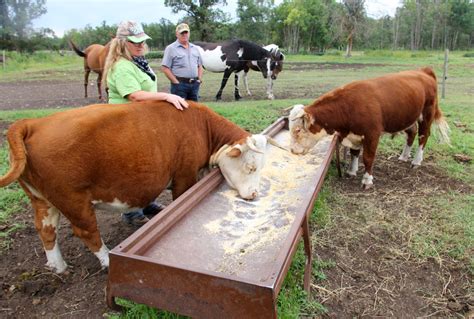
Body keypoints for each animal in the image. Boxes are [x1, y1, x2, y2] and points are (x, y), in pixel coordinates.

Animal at [0, 101, 274, 274]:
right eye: (251, 166)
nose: (253, 194)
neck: (201, 126)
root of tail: (33, 123)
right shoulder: (184, 176)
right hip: (72, 199)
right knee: (86, 231)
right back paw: (106, 260)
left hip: (42, 200)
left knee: (46, 230)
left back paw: (58, 267)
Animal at [286, 67, 450, 188]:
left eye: (298, 130)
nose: (292, 150)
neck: (349, 106)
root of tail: (423, 70)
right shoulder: (354, 134)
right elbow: (354, 153)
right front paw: (351, 171)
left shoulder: (372, 134)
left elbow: (368, 157)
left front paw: (367, 180)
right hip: (408, 117)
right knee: (412, 133)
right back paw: (404, 156)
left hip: (426, 114)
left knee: (423, 136)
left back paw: (416, 161)